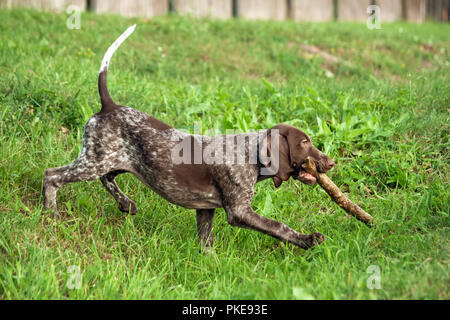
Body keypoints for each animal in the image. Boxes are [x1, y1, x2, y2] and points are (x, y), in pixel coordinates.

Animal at [44, 24, 336, 250]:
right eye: (304, 142)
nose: (331, 162)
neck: (250, 154)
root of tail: (109, 106)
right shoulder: (239, 211)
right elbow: (278, 226)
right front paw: (307, 239)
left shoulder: (206, 209)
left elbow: (206, 242)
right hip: (93, 162)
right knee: (53, 176)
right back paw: (51, 213)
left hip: (116, 161)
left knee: (107, 179)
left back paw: (126, 204)